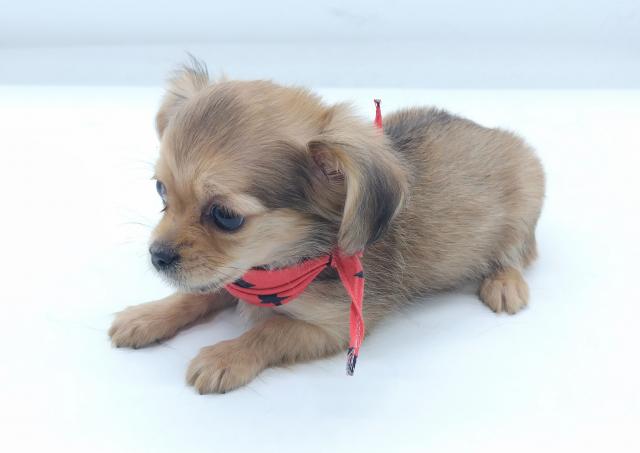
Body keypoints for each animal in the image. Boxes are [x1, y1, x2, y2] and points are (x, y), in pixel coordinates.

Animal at [109, 59, 545, 394]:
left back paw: (504, 283)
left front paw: (225, 355)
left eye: (226, 216)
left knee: (517, 253)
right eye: (161, 190)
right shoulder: (232, 273)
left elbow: (271, 329)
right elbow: (197, 294)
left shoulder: (335, 327)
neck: (288, 262)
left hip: (526, 195)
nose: (157, 256)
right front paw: (147, 316)